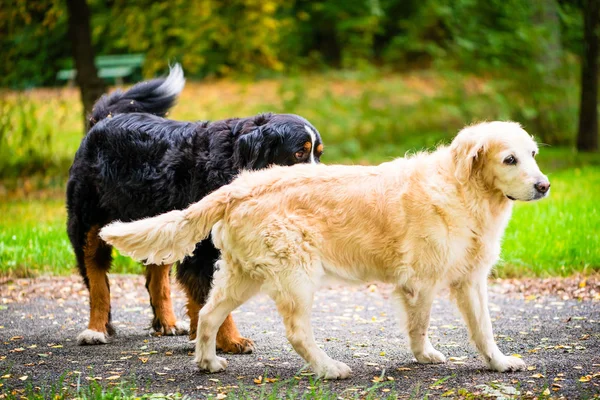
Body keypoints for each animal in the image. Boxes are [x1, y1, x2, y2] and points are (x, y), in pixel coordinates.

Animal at [67, 65, 324, 354]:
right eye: (298, 154)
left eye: (319, 154)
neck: (233, 163)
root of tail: (105, 119)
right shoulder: (203, 251)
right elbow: (209, 297)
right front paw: (230, 340)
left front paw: (202, 334)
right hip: (88, 224)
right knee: (96, 278)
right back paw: (95, 330)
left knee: (157, 278)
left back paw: (167, 323)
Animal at [102, 121, 548, 378]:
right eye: (509, 159)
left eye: (533, 154)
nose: (544, 186)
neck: (463, 190)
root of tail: (239, 186)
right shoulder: (420, 283)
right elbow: (420, 327)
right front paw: (425, 356)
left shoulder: (471, 281)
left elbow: (484, 329)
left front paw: (499, 363)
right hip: (296, 277)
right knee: (297, 333)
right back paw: (329, 368)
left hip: (242, 276)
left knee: (209, 315)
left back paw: (208, 363)